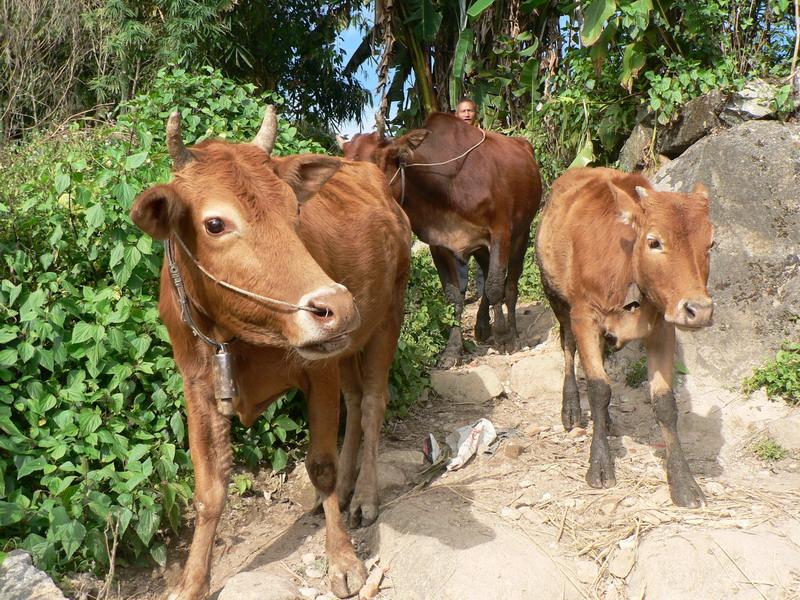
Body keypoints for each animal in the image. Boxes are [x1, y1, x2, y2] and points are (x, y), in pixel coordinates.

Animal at [130, 109, 412, 600]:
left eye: (293, 210)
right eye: (215, 224)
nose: (337, 308)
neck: (232, 334)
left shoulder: (319, 371)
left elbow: (320, 465)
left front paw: (342, 560)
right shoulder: (197, 387)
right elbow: (209, 489)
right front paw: (193, 581)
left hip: (386, 319)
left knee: (373, 404)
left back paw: (362, 498)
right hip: (348, 345)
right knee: (356, 401)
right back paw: (345, 490)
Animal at [340, 112, 540, 366]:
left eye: (379, 160)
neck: (447, 188)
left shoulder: (500, 232)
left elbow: (496, 287)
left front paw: (504, 337)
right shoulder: (438, 244)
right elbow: (455, 297)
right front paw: (452, 351)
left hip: (521, 233)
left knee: (510, 284)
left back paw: (511, 331)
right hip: (482, 248)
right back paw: (482, 327)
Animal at [536, 166, 712, 508]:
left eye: (711, 243)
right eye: (654, 241)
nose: (699, 310)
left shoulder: (663, 328)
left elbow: (664, 403)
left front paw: (683, 482)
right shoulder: (585, 316)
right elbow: (598, 387)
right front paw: (600, 464)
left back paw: (606, 420)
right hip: (556, 298)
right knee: (568, 348)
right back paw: (571, 408)